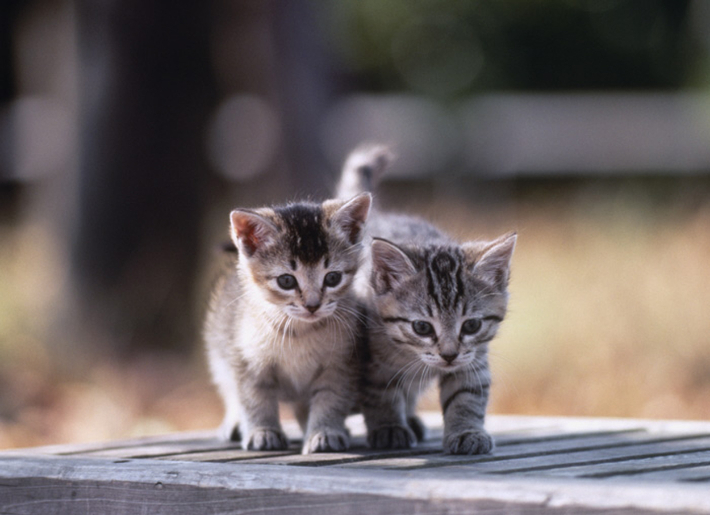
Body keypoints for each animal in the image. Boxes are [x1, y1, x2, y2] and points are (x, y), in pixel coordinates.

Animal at [203, 194, 372, 456]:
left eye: (333, 278)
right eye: (286, 281)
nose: (312, 305)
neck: (300, 332)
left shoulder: (342, 362)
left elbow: (331, 398)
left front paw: (325, 432)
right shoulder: (246, 358)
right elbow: (254, 398)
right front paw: (263, 432)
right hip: (219, 347)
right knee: (229, 387)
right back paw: (235, 422)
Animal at [340, 146, 516, 456]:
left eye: (471, 325)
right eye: (422, 327)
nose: (449, 355)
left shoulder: (473, 358)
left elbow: (466, 394)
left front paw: (467, 430)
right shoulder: (369, 360)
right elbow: (380, 391)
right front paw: (388, 426)